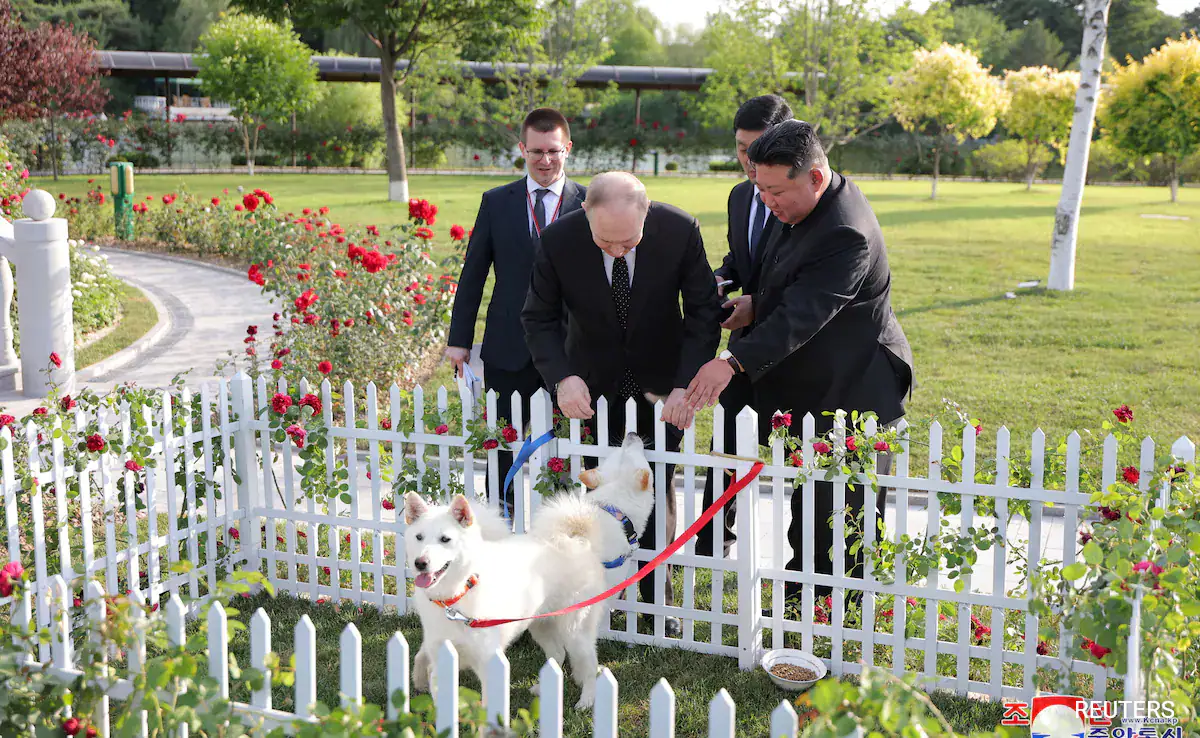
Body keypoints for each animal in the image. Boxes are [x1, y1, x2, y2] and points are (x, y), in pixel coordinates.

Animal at [408, 432, 662, 710]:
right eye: (628, 451)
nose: (632, 435)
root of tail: (578, 540)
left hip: (557, 626)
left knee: (574, 661)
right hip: (557, 626)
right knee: (570, 658)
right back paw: (571, 696)